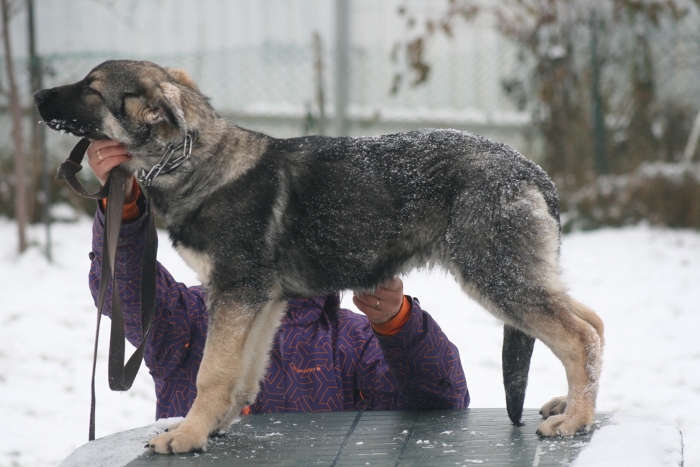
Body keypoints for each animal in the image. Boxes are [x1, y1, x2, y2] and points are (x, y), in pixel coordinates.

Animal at [34, 58, 600, 454]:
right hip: (521, 276)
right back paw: (575, 405)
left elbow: (211, 372)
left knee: (579, 336)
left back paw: (574, 420)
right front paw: (213, 427)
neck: (194, 160)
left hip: (498, 278)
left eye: (91, 87)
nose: (37, 94)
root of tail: (531, 170)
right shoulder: (261, 303)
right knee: (592, 320)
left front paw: (190, 434)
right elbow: (242, 374)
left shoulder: (237, 295)